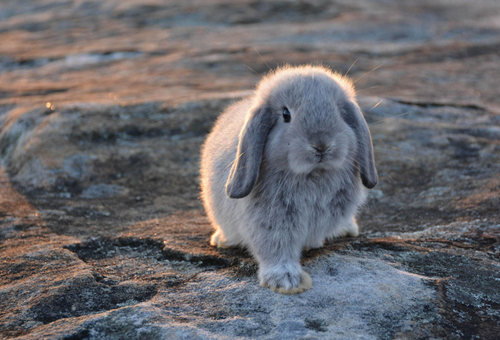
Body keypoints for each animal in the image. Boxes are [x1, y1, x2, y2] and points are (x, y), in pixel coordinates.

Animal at [199, 65, 376, 294]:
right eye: (286, 114)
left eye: (338, 111)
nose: (321, 145)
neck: (313, 175)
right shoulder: (270, 221)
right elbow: (276, 250)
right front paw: (287, 282)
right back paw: (222, 240)